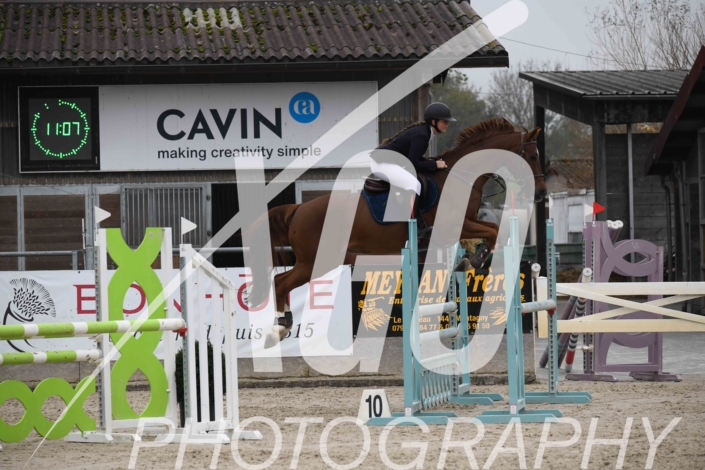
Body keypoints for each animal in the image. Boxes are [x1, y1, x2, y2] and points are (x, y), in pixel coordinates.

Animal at [247, 117, 546, 346]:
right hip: (317, 260)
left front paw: (468, 260)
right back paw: (278, 329)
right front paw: (472, 260)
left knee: (281, 282)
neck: (459, 177)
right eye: (532, 156)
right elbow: (493, 231)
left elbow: (492, 230)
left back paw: (282, 326)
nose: (541, 194)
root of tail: (299, 209)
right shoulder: (454, 224)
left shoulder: (466, 223)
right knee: (280, 282)